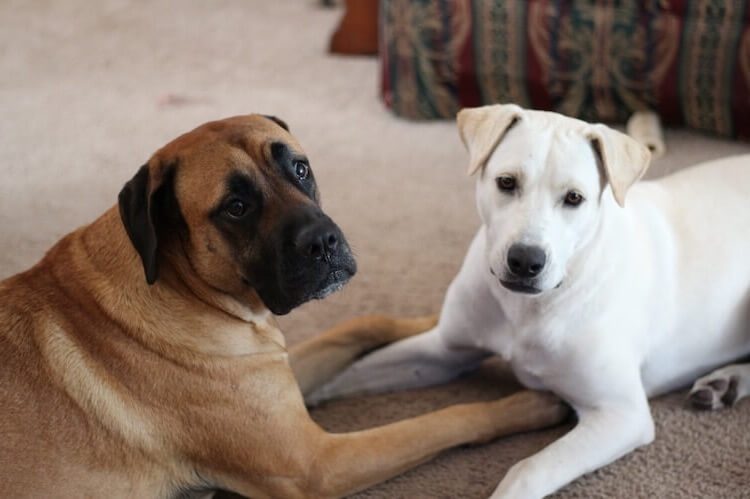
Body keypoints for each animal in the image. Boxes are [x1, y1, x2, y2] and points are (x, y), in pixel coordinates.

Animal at [0, 115, 568, 498]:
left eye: (300, 168)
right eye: (236, 207)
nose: (325, 241)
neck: (187, 287)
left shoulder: (277, 371)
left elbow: (362, 323)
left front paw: (434, 320)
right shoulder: (316, 462)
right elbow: (446, 419)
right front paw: (531, 404)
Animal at [306, 103, 750, 498]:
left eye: (574, 198)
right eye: (506, 182)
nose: (525, 260)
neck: (529, 306)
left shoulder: (620, 415)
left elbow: (528, 470)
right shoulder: (443, 352)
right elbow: (346, 376)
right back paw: (724, 384)